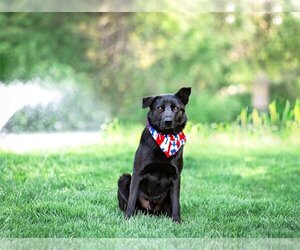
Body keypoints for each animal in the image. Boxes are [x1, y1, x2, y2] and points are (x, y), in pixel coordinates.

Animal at [116, 87, 190, 222]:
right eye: (160, 108)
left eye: (175, 108)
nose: (168, 121)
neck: (165, 139)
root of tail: (151, 211)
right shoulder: (138, 173)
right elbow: (132, 198)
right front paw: (128, 218)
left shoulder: (176, 177)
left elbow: (176, 202)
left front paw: (177, 221)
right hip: (124, 179)